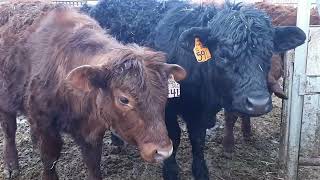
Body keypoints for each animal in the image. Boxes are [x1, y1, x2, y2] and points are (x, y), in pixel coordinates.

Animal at [0, 1, 186, 180]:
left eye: (165, 95)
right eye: (123, 99)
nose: (163, 151)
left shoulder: (92, 132)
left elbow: (93, 162)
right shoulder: (44, 125)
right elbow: (49, 160)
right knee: (9, 130)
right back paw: (11, 165)